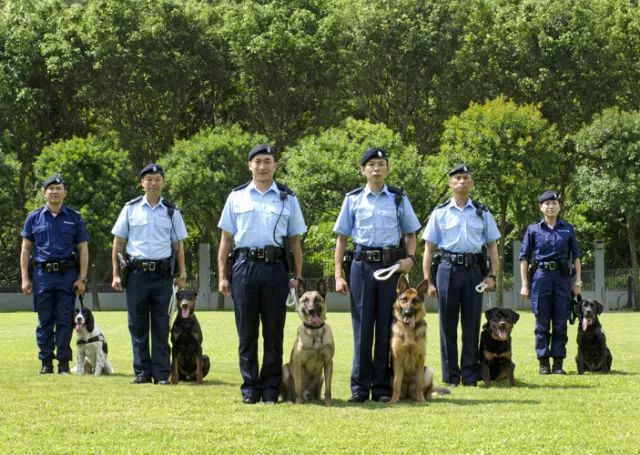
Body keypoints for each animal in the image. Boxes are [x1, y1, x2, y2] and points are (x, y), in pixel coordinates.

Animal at [280, 280, 336, 408]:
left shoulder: (328, 362)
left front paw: (328, 403)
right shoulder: (297, 363)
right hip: (285, 370)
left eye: (317, 299)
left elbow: (328, 388)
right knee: (289, 393)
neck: (314, 331)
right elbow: (298, 387)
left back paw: (318, 400)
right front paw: (299, 403)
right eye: (305, 300)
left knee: (317, 393)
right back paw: (291, 400)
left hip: (321, 377)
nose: (311, 310)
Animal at [388, 276, 448, 404]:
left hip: (429, 370)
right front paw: (393, 400)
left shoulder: (420, 358)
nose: (407, 313)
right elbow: (396, 384)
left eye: (415, 301)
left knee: (426, 390)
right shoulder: (398, 359)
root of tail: (407, 393)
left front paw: (421, 400)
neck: (409, 330)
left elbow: (419, 382)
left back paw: (424, 397)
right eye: (404, 299)